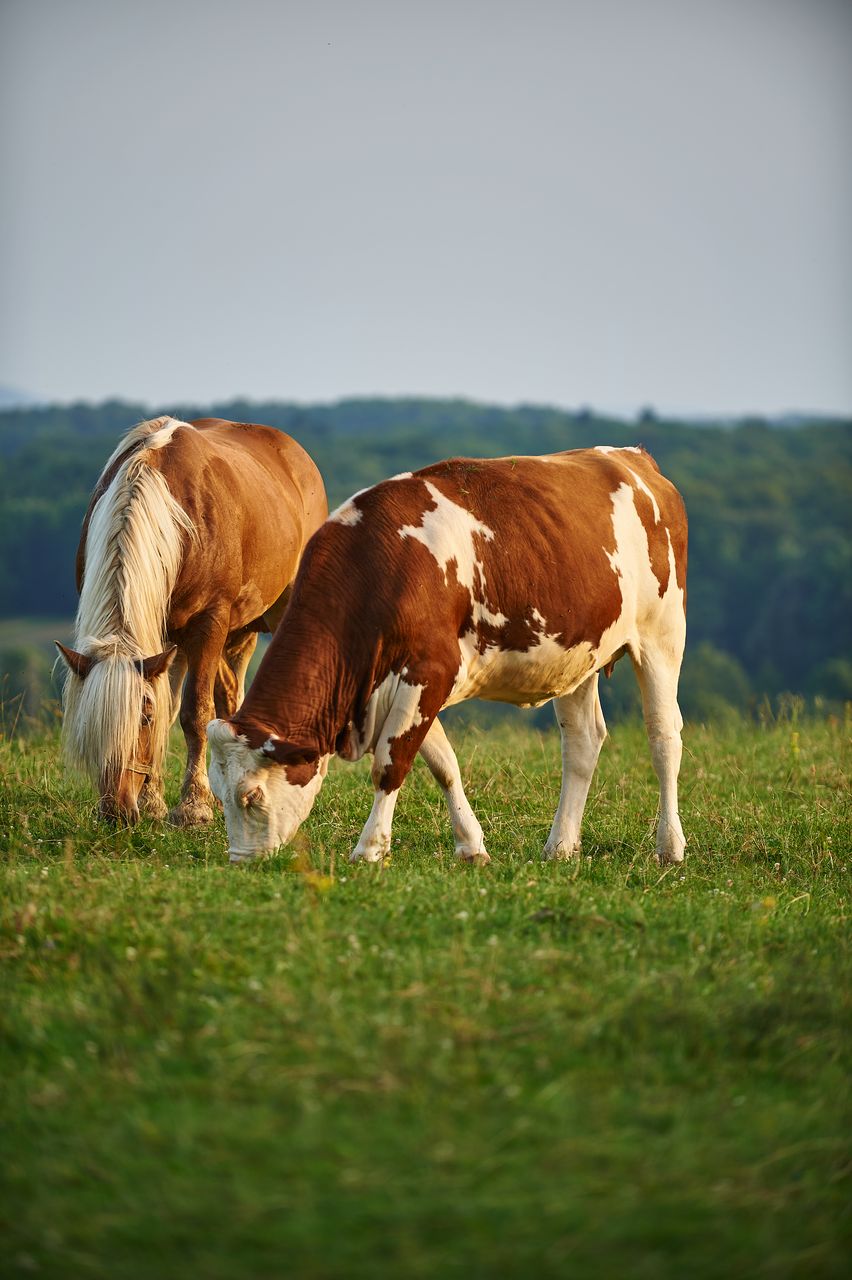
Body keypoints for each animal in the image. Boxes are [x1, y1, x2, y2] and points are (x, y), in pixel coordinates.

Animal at [207, 446, 688, 866]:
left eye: (251, 796)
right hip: (579, 653)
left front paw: (369, 849)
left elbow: (391, 764)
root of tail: (631, 458)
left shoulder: (428, 670)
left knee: (664, 737)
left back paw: (669, 847)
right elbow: (443, 764)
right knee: (582, 743)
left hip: (662, 636)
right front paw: (471, 846)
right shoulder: (411, 682)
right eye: (216, 791)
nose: (240, 862)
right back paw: (560, 846)